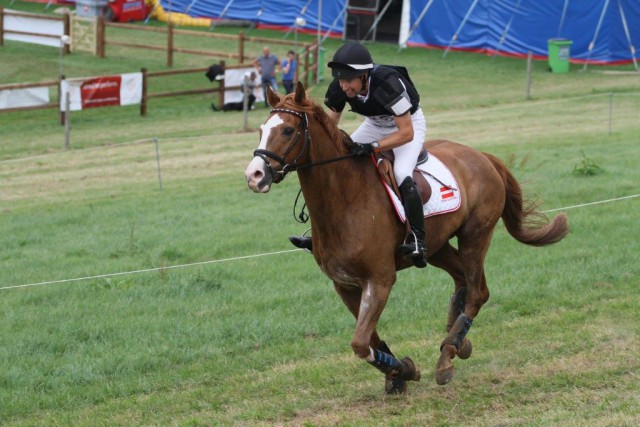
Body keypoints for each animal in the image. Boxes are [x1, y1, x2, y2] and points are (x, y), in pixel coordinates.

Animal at [245, 83, 568, 394]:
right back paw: (458, 341)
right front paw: (399, 374)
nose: (255, 176)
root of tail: (482, 156)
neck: (345, 200)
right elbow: (370, 339)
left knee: (478, 292)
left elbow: (360, 343)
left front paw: (405, 370)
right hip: (436, 247)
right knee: (461, 279)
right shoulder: (345, 285)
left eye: (288, 130)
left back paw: (448, 355)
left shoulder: (380, 280)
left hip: (475, 235)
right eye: (261, 130)